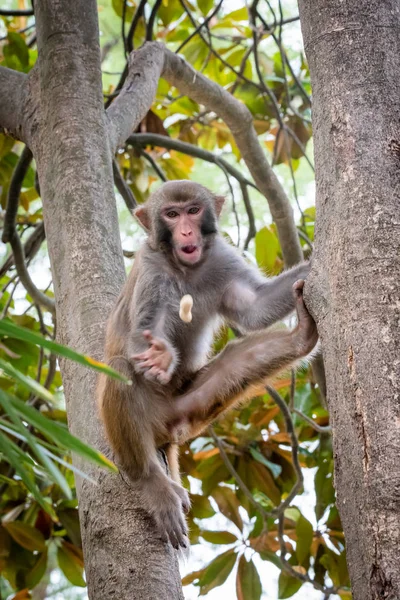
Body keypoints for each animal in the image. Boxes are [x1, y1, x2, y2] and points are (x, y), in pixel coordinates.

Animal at [95, 182, 318, 548]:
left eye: (193, 210)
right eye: (172, 214)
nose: (186, 230)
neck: (185, 268)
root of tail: (166, 428)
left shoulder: (221, 259)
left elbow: (254, 308)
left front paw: (314, 262)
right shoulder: (152, 270)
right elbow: (144, 333)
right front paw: (159, 355)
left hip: (190, 408)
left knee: (233, 362)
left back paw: (301, 337)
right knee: (122, 369)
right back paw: (149, 481)